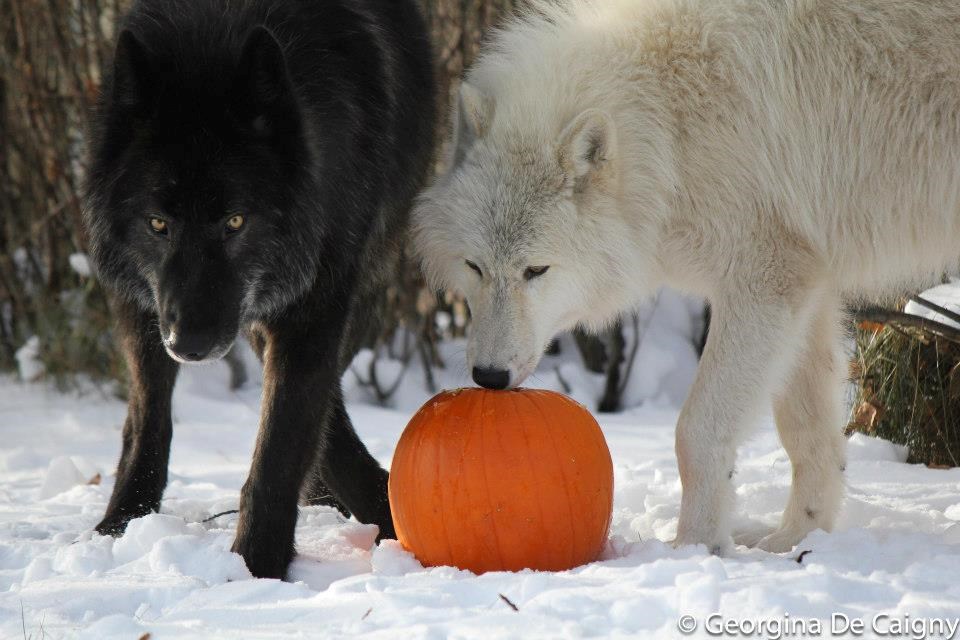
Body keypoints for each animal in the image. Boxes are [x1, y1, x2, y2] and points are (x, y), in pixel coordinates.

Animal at [84, 0, 436, 580]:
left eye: (235, 221)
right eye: (158, 224)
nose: (189, 346)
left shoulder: (315, 301)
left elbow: (279, 445)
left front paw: (255, 567)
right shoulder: (146, 301)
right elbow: (147, 420)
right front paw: (118, 529)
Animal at [414, 0, 960, 552]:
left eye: (535, 270)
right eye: (475, 267)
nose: (489, 377)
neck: (669, 118)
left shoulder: (764, 279)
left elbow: (696, 432)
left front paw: (697, 548)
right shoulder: (807, 285)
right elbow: (808, 434)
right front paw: (796, 541)